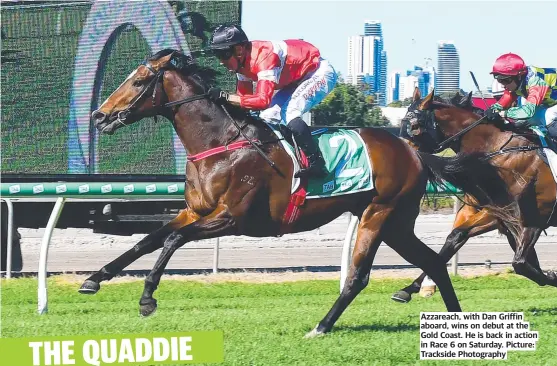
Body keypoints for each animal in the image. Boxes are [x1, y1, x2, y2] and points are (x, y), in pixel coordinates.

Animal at [78, 49, 462, 338]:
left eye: (138, 81)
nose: (99, 115)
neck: (220, 144)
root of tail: (411, 149)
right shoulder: (194, 211)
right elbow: (148, 240)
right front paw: (93, 279)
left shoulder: (232, 218)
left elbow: (172, 240)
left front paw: (147, 298)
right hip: (396, 223)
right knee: (431, 261)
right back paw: (456, 319)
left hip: (379, 214)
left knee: (357, 276)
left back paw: (320, 327)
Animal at [390, 86, 556, 304]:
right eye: (402, 123)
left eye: (415, 125)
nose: (402, 157)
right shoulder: (492, 215)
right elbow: (455, 237)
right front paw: (412, 289)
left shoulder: (528, 219)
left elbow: (521, 263)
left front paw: (550, 276)